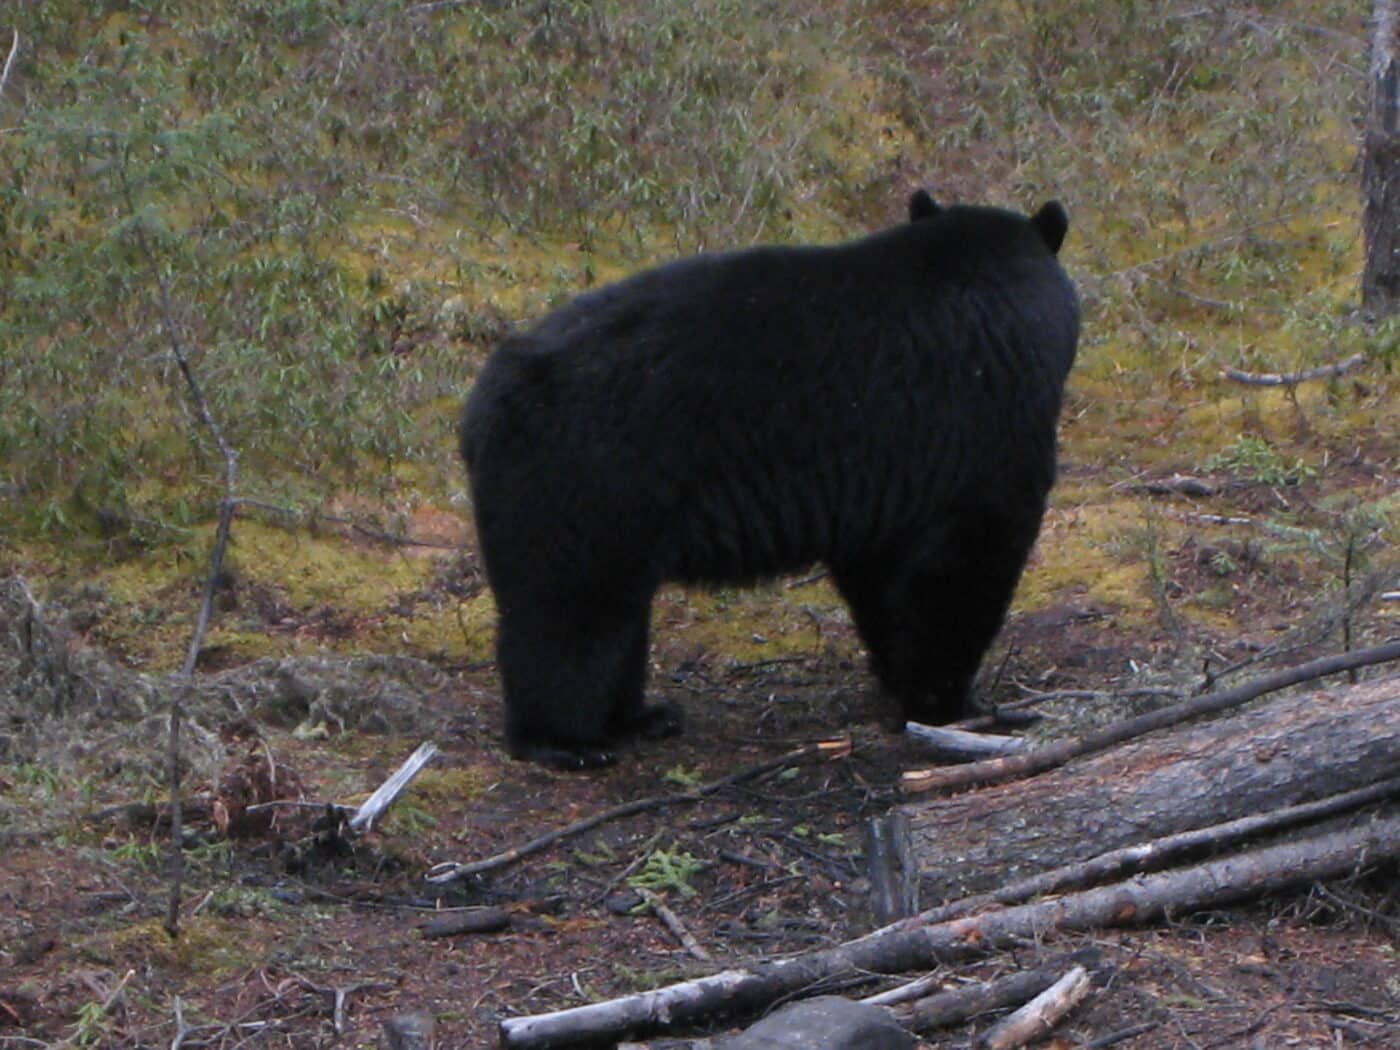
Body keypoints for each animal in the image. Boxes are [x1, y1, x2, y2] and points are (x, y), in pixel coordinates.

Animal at [464, 191, 1075, 767]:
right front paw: (950, 702)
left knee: (616, 615)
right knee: (571, 614)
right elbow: (963, 564)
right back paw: (563, 741)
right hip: (589, 477)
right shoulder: (978, 424)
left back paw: (640, 716)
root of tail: (483, 402)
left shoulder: (885, 480)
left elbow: (880, 574)